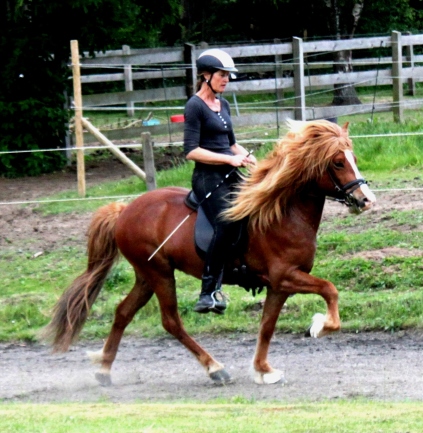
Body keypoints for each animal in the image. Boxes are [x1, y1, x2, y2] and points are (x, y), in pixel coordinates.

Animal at [42, 118, 374, 384]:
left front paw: (263, 370)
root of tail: (124, 210)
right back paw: (215, 368)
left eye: (354, 157)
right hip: (159, 273)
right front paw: (321, 326)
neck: (282, 212)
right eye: (338, 162)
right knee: (171, 321)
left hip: (146, 275)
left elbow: (267, 326)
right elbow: (330, 290)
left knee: (123, 312)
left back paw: (104, 370)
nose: (366, 200)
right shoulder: (286, 277)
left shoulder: (279, 286)